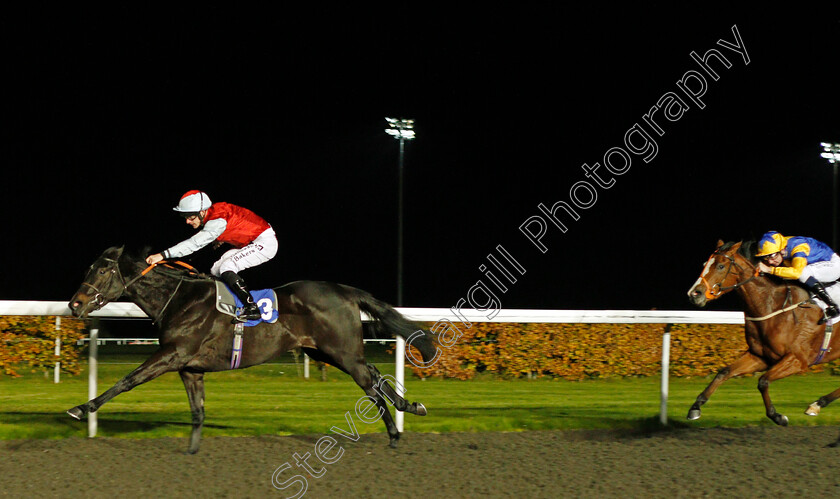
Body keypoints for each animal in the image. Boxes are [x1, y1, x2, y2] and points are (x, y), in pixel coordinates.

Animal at [65, 246, 440, 454]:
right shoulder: (190, 367)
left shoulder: (172, 355)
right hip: (324, 352)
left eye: (102, 269)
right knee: (374, 377)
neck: (180, 299)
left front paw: (82, 408)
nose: (75, 304)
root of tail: (346, 291)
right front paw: (192, 451)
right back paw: (407, 413)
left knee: (371, 383)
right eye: (88, 268)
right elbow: (197, 411)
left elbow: (127, 381)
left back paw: (398, 428)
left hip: (343, 353)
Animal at [684, 240, 840, 432]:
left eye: (721, 265)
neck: (773, 306)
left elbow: (763, 381)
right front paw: (695, 407)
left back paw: (818, 404)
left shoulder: (798, 360)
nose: (694, 294)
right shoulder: (760, 356)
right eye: (705, 264)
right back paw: (818, 404)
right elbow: (723, 372)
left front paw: (778, 416)